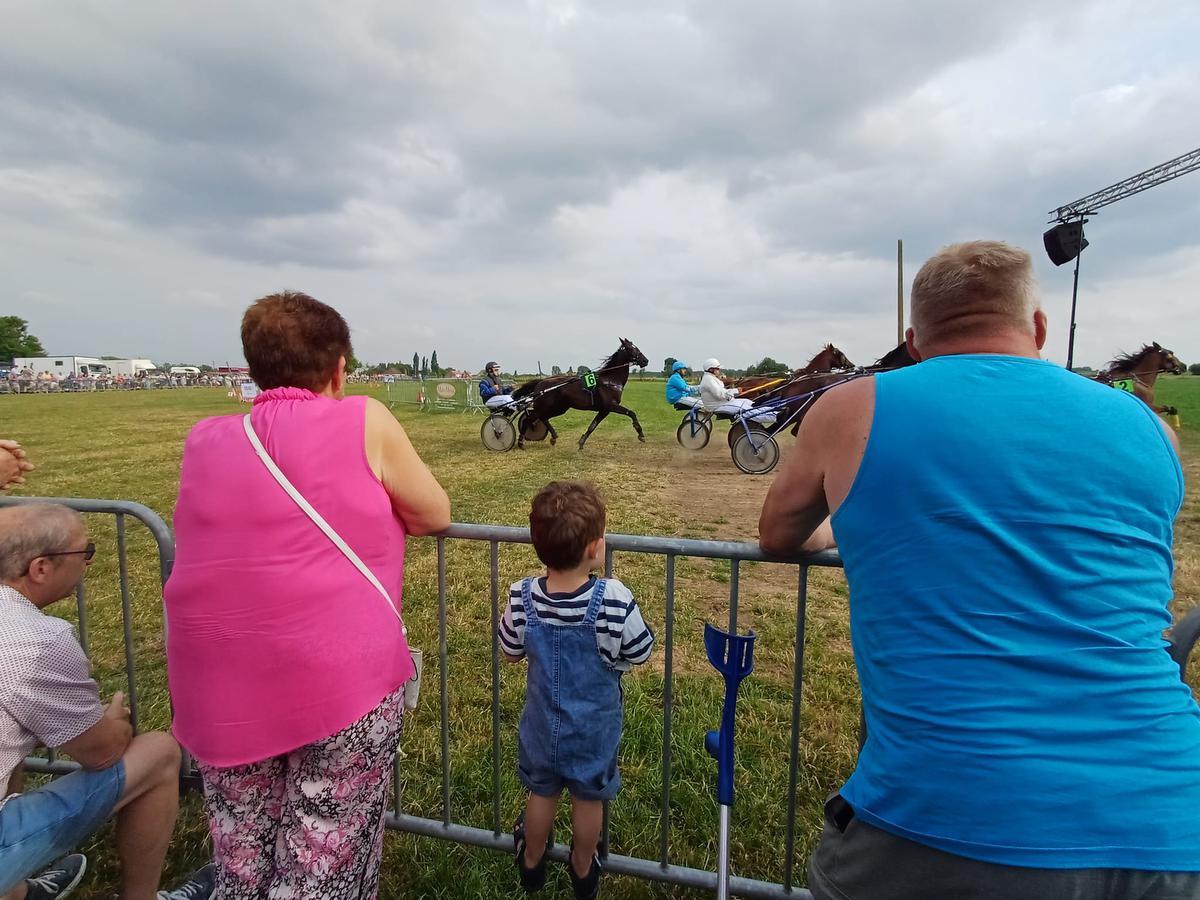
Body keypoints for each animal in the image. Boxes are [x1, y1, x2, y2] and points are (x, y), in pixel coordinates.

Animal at [511, 338, 652, 451]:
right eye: (633, 349)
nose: (645, 360)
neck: (610, 380)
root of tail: (541, 382)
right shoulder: (611, 406)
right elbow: (632, 413)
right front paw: (640, 434)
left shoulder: (604, 410)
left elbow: (592, 426)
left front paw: (581, 442)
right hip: (545, 406)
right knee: (529, 419)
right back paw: (521, 442)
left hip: (559, 408)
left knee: (543, 418)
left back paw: (553, 437)